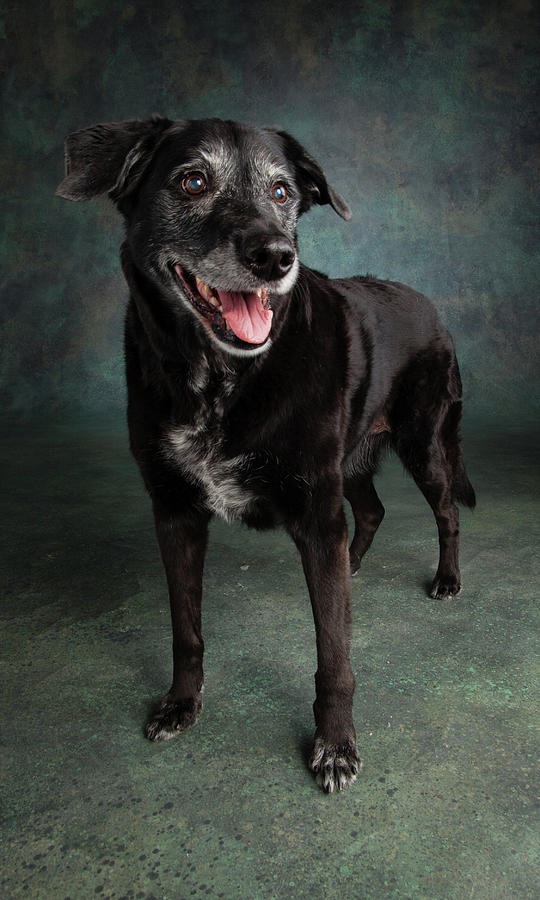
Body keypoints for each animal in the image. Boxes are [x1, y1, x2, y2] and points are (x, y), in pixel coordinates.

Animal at [57, 116, 474, 792]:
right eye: (192, 181)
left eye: (282, 193)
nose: (277, 257)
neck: (220, 381)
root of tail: (430, 306)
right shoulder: (175, 513)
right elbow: (186, 630)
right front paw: (180, 703)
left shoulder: (317, 512)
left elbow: (334, 656)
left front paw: (335, 746)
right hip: (350, 460)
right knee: (373, 510)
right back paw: (354, 567)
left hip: (424, 444)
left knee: (446, 511)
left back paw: (446, 579)